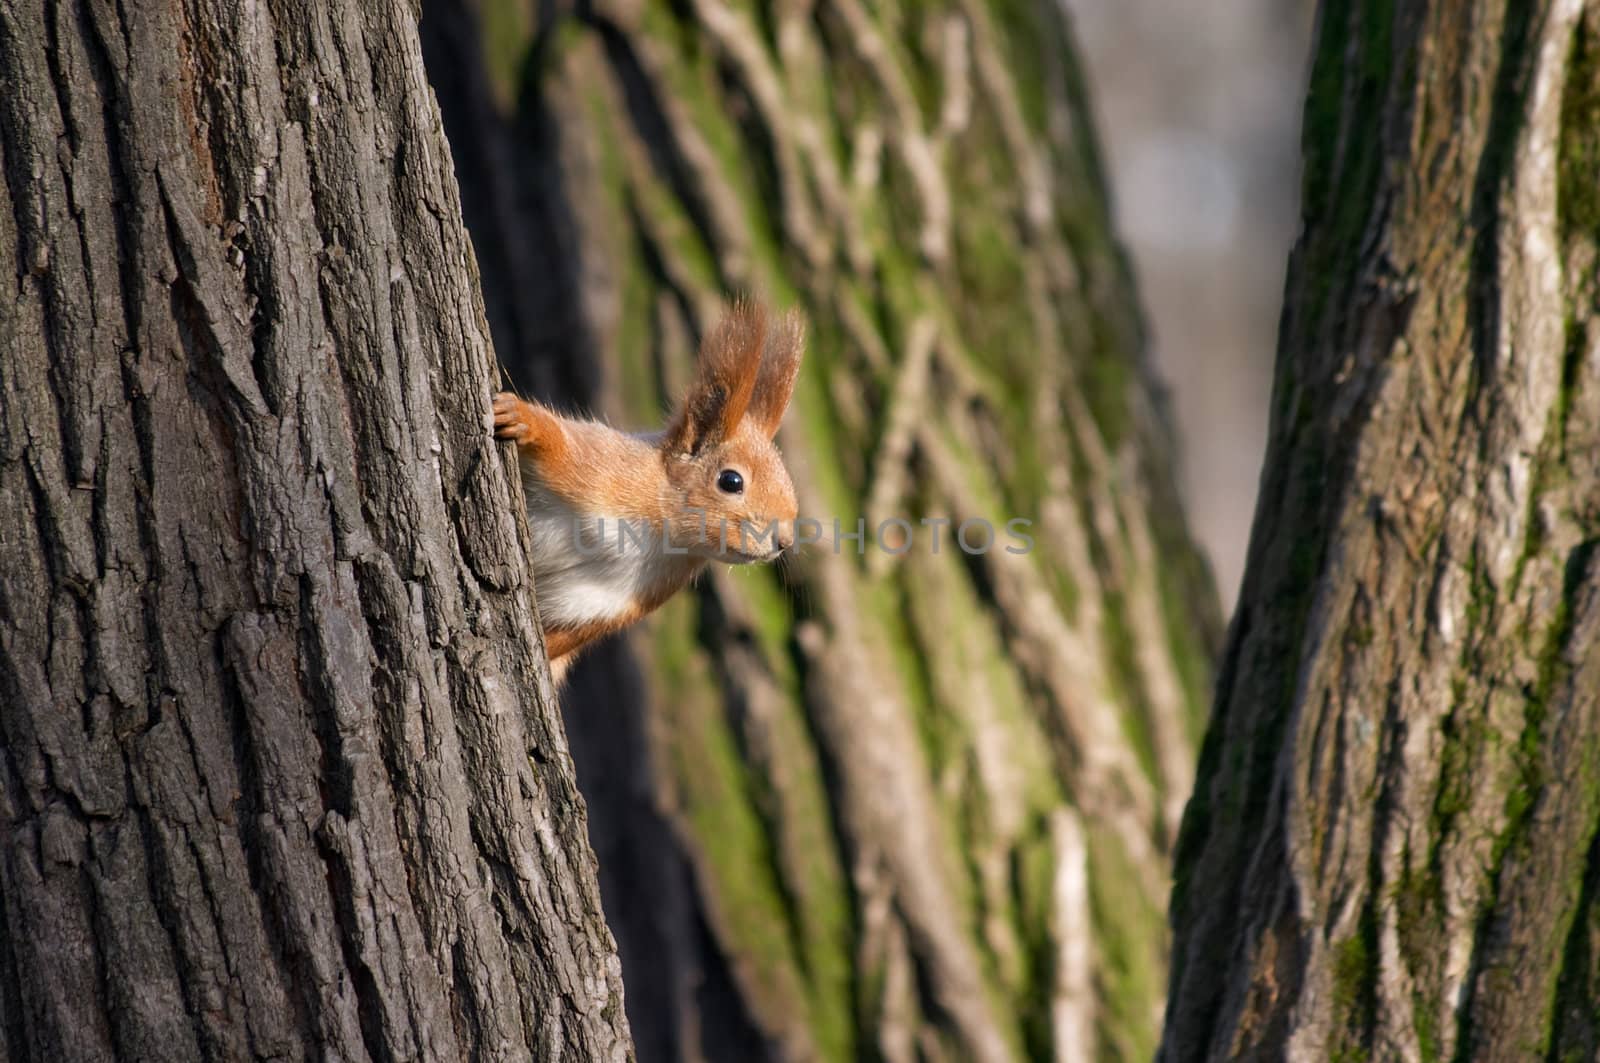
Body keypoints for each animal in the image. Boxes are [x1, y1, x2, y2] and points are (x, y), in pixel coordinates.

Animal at [492, 300, 806, 681]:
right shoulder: (598, 469)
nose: (784, 541)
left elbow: (565, 637)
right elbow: (560, 443)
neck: (656, 533)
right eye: (731, 481)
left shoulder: (614, 601)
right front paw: (522, 419)